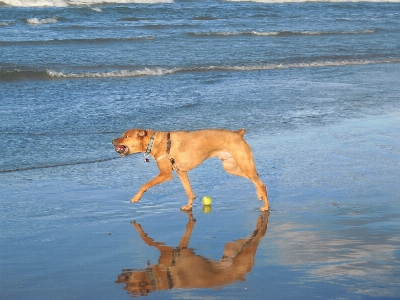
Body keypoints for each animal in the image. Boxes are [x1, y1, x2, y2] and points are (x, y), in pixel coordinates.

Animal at [112, 129, 268, 211]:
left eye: (126, 136)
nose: (112, 141)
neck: (155, 141)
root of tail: (238, 133)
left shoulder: (165, 174)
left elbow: (144, 185)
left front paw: (136, 197)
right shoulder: (181, 172)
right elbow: (189, 191)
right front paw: (189, 206)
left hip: (243, 164)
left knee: (261, 184)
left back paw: (266, 206)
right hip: (232, 167)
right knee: (257, 179)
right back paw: (259, 195)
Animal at [117, 211, 270, 296]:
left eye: (129, 286)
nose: (119, 277)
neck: (160, 277)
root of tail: (241, 275)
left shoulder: (169, 250)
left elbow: (148, 240)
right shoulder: (179, 248)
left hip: (245, 251)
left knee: (259, 235)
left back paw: (261, 220)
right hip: (233, 247)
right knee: (253, 235)